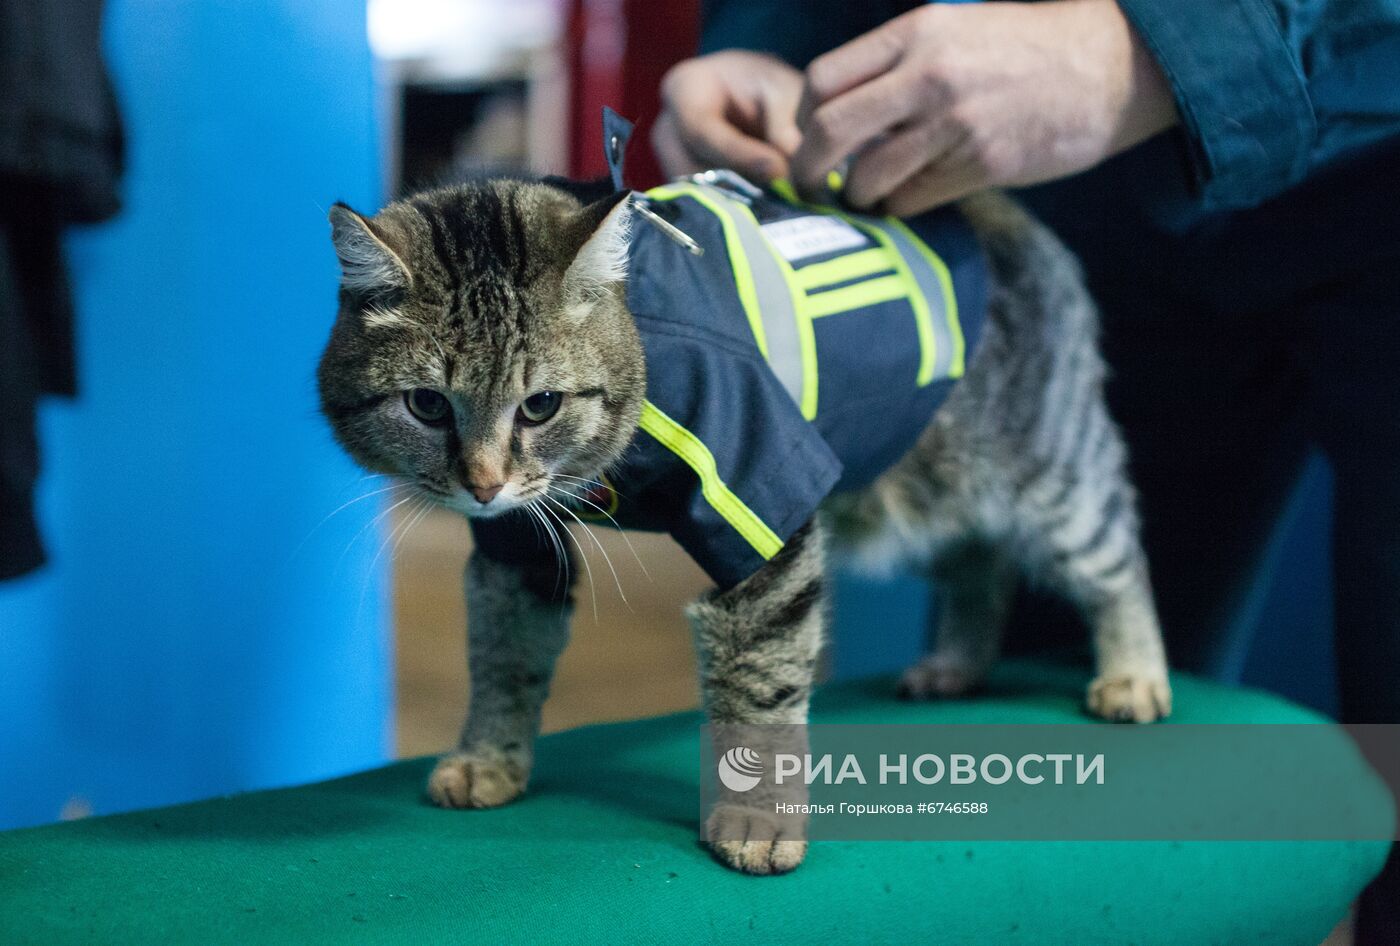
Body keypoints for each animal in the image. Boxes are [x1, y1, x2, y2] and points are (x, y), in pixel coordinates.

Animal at [315, 175, 1170, 873]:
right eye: (428, 405)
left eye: (540, 406)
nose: (484, 484)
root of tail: (998, 206)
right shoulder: (517, 544)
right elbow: (502, 658)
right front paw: (489, 756)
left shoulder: (764, 517)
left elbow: (761, 684)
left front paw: (756, 817)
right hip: (927, 491)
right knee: (980, 567)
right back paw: (957, 664)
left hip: (1048, 471)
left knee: (1116, 552)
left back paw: (1133, 673)